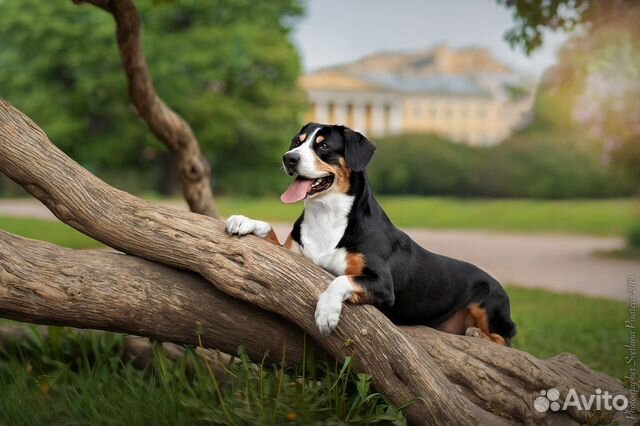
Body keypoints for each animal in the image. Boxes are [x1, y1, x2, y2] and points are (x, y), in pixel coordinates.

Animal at [224, 121, 516, 344]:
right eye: (297, 142)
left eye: (324, 146)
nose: (289, 158)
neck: (326, 215)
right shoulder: (293, 255)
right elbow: (269, 230)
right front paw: (243, 221)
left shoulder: (382, 284)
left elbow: (341, 280)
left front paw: (326, 313)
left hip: (487, 301)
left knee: (503, 340)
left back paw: (477, 333)